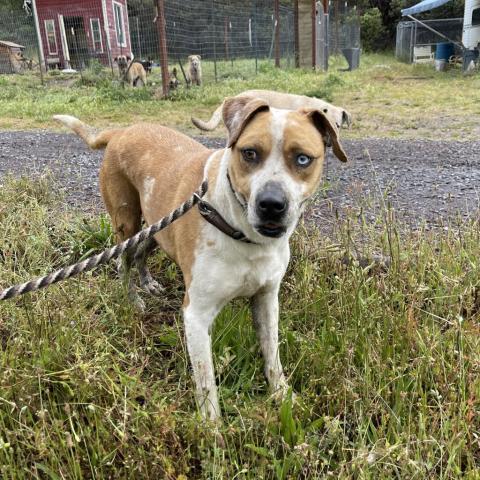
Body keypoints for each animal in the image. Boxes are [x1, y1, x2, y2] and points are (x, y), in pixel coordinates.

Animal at [53, 96, 348, 420]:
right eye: (249, 153)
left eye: (303, 159)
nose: (271, 204)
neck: (243, 235)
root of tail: (121, 131)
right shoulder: (196, 315)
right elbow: (207, 384)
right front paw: (211, 427)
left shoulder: (267, 299)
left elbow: (272, 356)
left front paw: (283, 396)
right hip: (127, 224)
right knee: (124, 262)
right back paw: (132, 299)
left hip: (158, 228)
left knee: (142, 253)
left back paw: (148, 284)